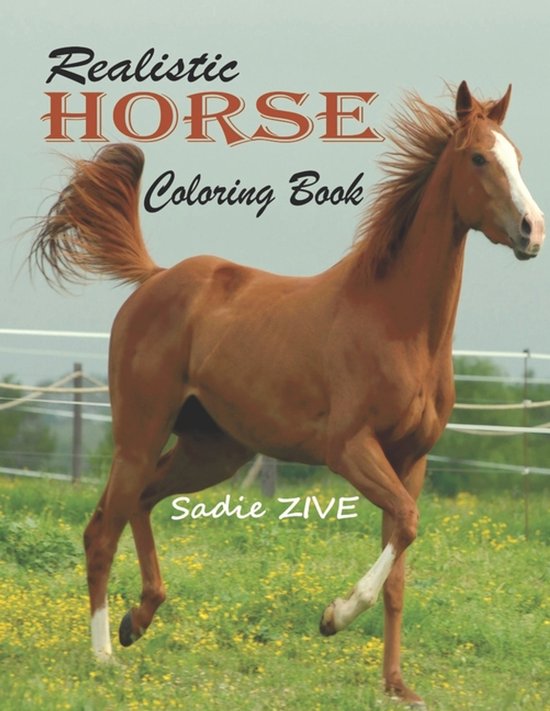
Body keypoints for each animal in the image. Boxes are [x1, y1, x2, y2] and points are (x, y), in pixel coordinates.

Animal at [30, 81, 544, 708]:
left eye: (516, 156)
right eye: (478, 159)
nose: (532, 230)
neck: (396, 324)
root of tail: (154, 278)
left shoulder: (411, 459)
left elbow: (400, 564)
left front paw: (398, 685)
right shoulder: (349, 449)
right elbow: (406, 523)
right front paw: (333, 617)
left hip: (213, 450)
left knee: (142, 502)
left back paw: (138, 620)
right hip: (140, 432)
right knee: (103, 529)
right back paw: (104, 654)